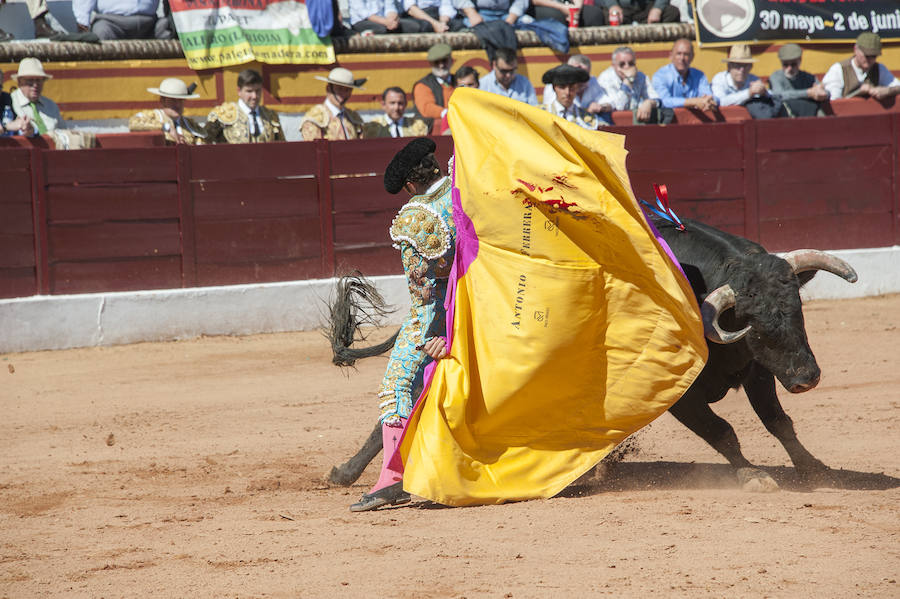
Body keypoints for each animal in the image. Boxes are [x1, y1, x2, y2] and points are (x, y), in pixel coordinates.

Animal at [328, 216, 856, 492]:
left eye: (797, 311)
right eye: (756, 324)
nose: (807, 377)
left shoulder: (757, 371)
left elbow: (778, 422)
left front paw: (814, 468)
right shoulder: (685, 395)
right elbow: (722, 430)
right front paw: (751, 476)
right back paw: (353, 474)